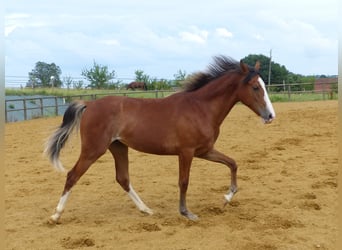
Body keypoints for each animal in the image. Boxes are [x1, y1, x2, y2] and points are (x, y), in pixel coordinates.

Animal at [45, 56, 276, 223]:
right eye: (255, 87)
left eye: (264, 85)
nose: (270, 115)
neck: (200, 108)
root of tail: (90, 104)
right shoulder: (187, 152)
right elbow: (184, 181)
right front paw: (187, 213)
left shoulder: (204, 150)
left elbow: (232, 163)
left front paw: (227, 198)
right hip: (94, 149)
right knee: (73, 175)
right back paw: (56, 215)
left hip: (118, 147)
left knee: (123, 178)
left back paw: (146, 210)